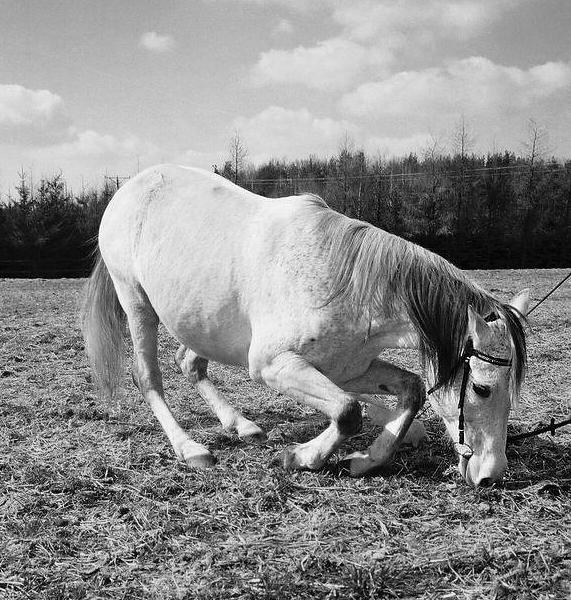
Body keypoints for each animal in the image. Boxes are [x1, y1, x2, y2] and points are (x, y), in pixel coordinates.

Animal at [82, 165, 528, 488]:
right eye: (482, 388)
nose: (492, 476)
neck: (345, 280)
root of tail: (129, 188)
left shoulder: (349, 368)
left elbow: (411, 390)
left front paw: (364, 460)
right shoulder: (273, 365)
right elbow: (347, 411)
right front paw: (300, 457)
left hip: (203, 321)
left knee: (190, 363)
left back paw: (242, 425)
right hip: (137, 302)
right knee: (147, 376)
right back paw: (190, 448)